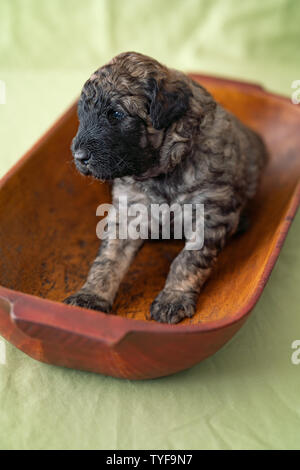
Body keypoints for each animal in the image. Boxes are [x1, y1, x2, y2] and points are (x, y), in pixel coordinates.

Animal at [64, 51, 268, 324]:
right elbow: (108, 258)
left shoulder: (209, 212)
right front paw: (91, 296)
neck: (163, 172)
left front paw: (173, 298)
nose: (79, 156)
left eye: (116, 114)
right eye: (82, 115)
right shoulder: (129, 211)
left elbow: (188, 259)